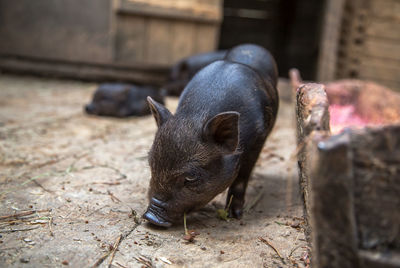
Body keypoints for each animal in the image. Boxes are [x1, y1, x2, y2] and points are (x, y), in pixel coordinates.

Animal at [144, 44, 278, 226]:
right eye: (151, 163)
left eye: (191, 177)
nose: (151, 217)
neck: (198, 114)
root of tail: (252, 46)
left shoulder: (258, 139)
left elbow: (241, 179)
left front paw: (234, 216)